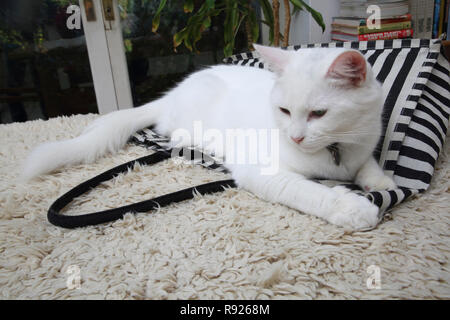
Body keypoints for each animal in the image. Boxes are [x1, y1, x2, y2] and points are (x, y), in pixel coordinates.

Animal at [23, 44, 398, 230]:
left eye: (318, 114)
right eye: (284, 111)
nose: (295, 137)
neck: (336, 151)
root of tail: (171, 95)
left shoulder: (363, 144)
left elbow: (368, 165)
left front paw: (381, 182)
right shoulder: (262, 171)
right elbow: (310, 192)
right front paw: (350, 208)